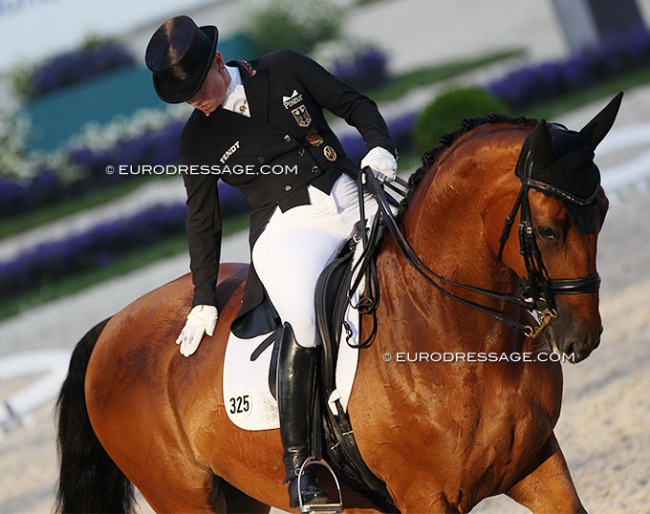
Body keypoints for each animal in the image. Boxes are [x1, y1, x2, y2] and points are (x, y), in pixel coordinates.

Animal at [54, 93, 616, 512]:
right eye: (549, 229)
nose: (581, 339)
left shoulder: (538, 463)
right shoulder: (425, 498)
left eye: (604, 212)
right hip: (184, 499)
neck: (452, 333)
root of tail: (110, 327)